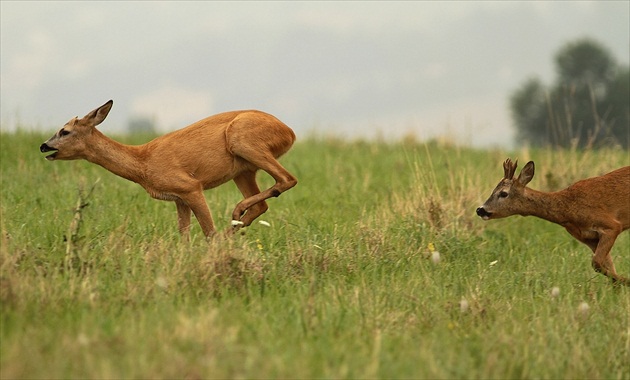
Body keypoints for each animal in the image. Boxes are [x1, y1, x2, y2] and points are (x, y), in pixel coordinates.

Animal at [40, 99, 300, 239]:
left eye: (64, 131)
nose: (44, 146)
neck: (143, 163)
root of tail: (290, 131)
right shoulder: (179, 199)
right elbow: (184, 235)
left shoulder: (191, 186)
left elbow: (208, 232)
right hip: (243, 170)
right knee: (263, 204)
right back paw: (234, 225)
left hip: (244, 141)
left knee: (287, 179)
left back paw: (236, 213)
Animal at [478, 157, 630, 284]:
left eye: (503, 193)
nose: (480, 210)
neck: (567, 209)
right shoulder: (588, 238)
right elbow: (607, 264)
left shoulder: (611, 225)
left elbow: (596, 263)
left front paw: (626, 282)